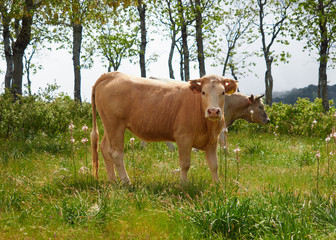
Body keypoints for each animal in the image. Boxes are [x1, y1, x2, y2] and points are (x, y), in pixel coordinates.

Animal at [90, 71, 238, 184]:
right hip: (115, 125)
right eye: (203, 92)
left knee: (105, 149)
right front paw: (184, 184)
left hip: (108, 125)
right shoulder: (184, 137)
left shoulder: (213, 140)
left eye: (223, 92)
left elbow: (214, 165)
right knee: (116, 153)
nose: (213, 111)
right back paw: (126, 182)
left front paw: (217, 185)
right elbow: (185, 163)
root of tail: (112, 74)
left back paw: (112, 181)